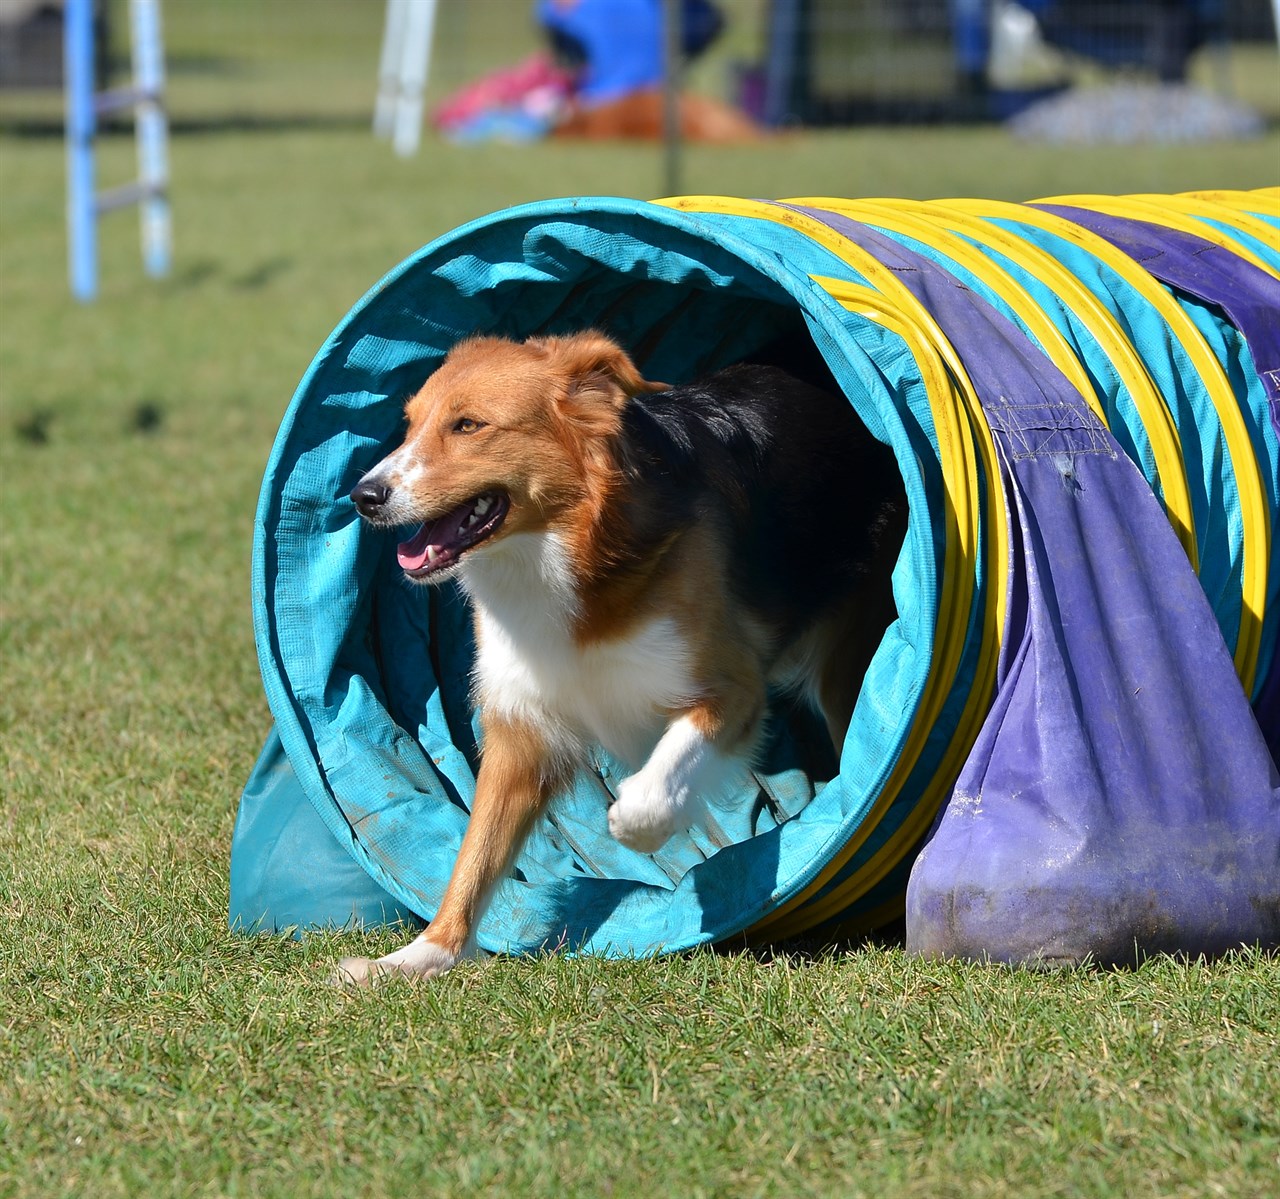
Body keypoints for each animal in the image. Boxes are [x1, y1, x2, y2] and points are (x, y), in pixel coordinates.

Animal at [335, 330, 906, 982]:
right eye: (408, 426)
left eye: (468, 425)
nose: (363, 496)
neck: (563, 552)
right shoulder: (520, 728)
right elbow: (475, 854)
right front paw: (420, 955)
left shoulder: (732, 688)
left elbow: (663, 775)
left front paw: (636, 824)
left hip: (843, 673)